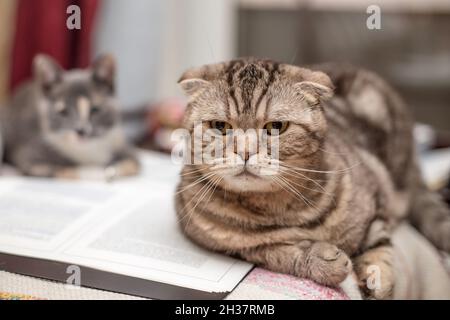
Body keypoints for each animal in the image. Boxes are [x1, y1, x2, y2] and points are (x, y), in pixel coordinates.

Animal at [0, 54, 139, 181]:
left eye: (95, 109)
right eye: (63, 111)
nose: (81, 130)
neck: (86, 151)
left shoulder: (122, 145)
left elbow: (132, 164)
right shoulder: (32, 159)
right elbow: (67, 170)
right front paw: (94, 172)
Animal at [175, 58, 450, 300]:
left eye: (276, 126)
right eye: (220, 126)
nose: (245, 152)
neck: (279, 210)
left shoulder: (376, 199)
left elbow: (380, 248)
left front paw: (378, 281)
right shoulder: (239, 249)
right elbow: (283, 253)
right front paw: (323, 259)